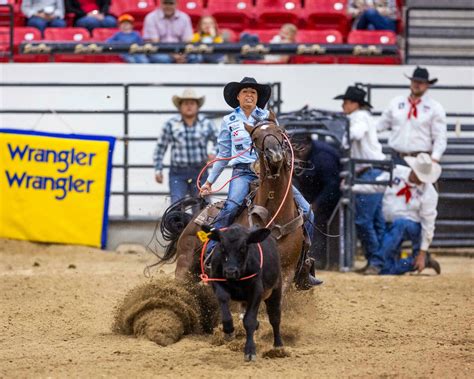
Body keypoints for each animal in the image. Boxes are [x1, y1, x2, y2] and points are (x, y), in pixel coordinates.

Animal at [203, 224, 284, 364]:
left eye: (243, 247)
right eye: (222, 246)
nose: (230, 272)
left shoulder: (257, 291)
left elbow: (249, 320)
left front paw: (250, 351)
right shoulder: (216, 281)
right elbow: (223, 301)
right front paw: (228, 331)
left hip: (275, 290)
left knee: (275, 317)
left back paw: (278, 347)